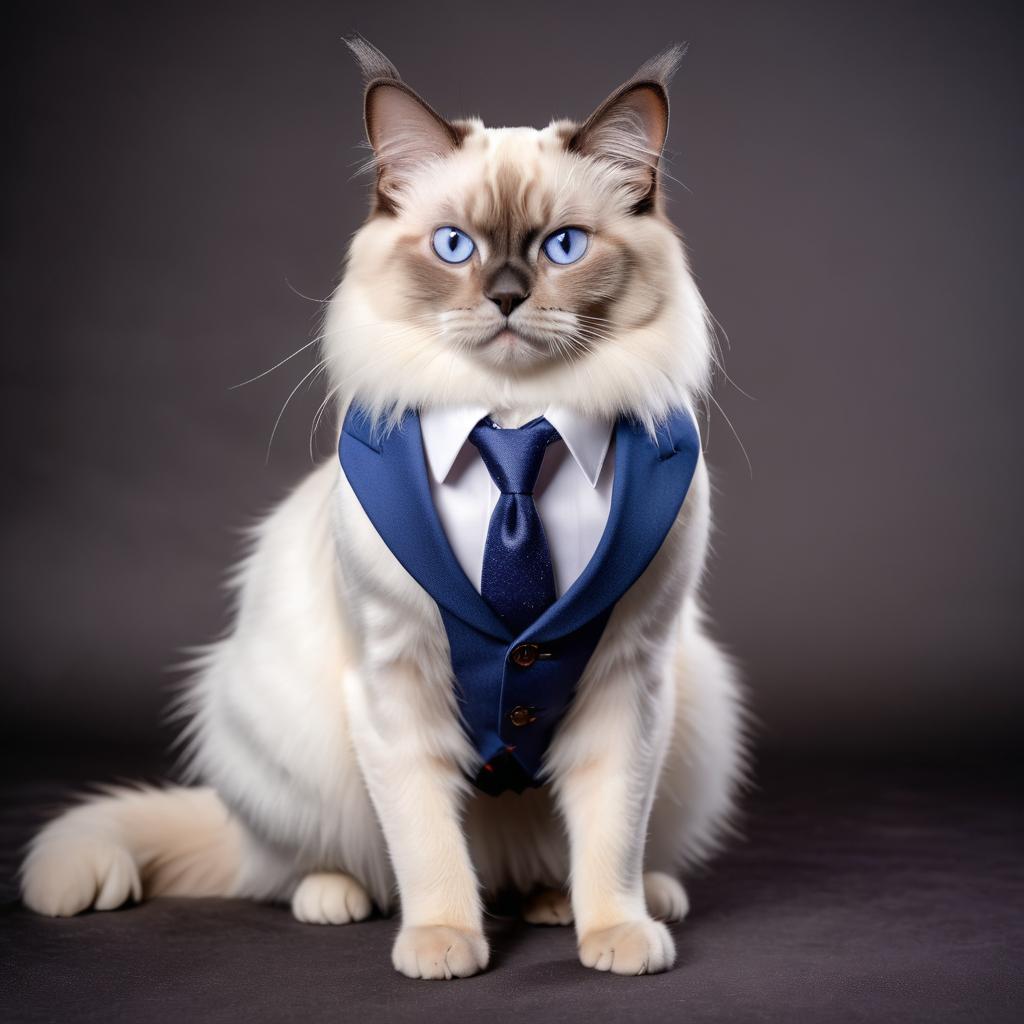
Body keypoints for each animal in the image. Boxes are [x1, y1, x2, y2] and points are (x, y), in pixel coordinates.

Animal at [19, 36, 749, 978]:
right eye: (453, 246)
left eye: (562, 246)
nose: (506, 296)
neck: (512, 427)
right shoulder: (394, 684)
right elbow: (427, 846)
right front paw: (443, 945)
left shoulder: (631, 676)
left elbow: (611, 836)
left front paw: (614, 934)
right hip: (283, 732)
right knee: (307, 862)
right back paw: (338, 899)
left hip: (695, 709)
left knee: (566, 860)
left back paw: (596, 902)